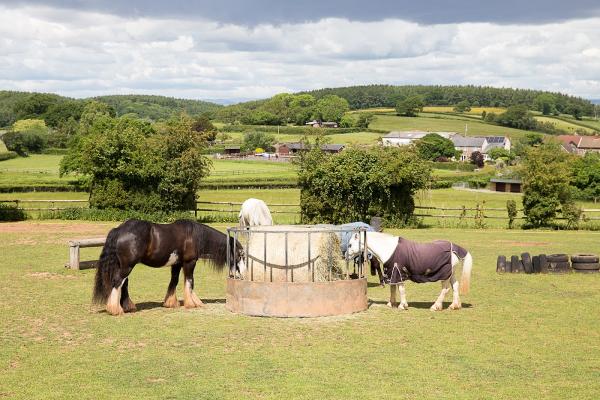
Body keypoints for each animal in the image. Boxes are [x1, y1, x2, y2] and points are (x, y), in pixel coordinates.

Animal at [92, 219, 245, 316]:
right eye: (240, 255)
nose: (243, 274)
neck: (193, 236)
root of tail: (119, 229)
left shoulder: (177, 264)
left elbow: (174, 281)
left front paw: (170, 302)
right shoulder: (189, 262)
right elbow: (190, 282)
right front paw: (192, 303)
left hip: (124, 265)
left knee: (124, 284)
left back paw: (128, 306)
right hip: (127, 266)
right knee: (117, 282)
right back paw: (115, 309)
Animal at [346, 230, 474, 310]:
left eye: (350, 244)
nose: (345, 256)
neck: (389, 249)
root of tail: (454, 249)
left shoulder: (398, 272)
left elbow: (401, 289)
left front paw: (403, 305)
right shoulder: (392, 272)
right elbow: (392, 288)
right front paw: (391, 303)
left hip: (444, 275)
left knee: (445, 289)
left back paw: (436, 306)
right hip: (451, 274)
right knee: (455, 286)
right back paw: (455, 305)